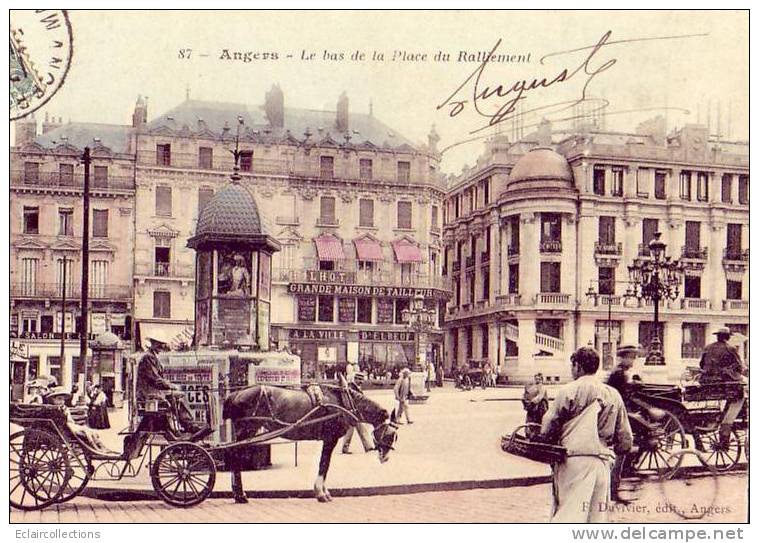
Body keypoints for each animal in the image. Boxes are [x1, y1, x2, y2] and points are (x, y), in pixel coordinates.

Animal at [220, 384, 398, 504]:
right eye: (391, 435)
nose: (386, 458)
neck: (342, 403)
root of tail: (235, 394)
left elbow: (324, 464)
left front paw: (324, 491)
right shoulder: (330, 439)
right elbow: (324, 464)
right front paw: (321, 493)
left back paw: (238, 494)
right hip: (247, 430)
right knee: (235, 456)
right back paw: (241, 495)